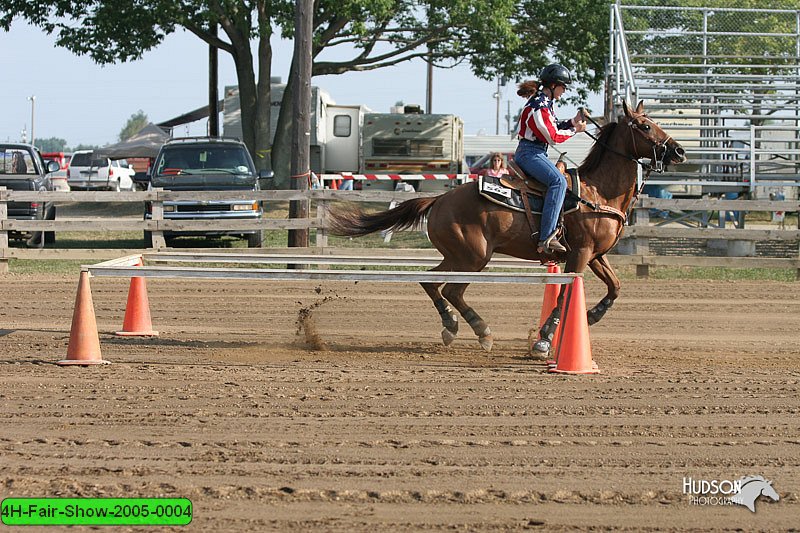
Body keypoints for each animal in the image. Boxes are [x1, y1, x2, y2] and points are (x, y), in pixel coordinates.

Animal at [326, 103, 688, 354]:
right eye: (645, 125)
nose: (679, 150)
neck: (598, 192)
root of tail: (440, 199)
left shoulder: (597, 254)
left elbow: (615, 287)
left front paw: (589, 317)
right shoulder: (580, 253)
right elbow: (565, 294)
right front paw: (544, 340)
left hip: (458, 257)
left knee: (432, 282)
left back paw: (451, 325)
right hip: (473, 258)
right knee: (451, 290)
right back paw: (481, 331)